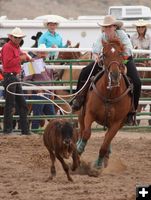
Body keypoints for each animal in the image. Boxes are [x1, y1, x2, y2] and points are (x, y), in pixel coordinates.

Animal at [76, 38, 132, 170]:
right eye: (104, 54)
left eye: (120, 54)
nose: (115, 75)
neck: (109, 95)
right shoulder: (89, 114)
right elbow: (87, 133)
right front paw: (80, 148)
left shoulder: (116, 123)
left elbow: (105, 144)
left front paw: (98, 165)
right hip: (81, 113)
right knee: (81, 130)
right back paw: (77, 147)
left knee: (108, 139)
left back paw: (106, 158)